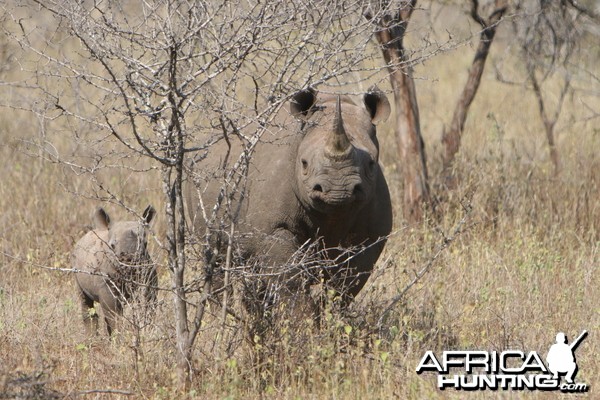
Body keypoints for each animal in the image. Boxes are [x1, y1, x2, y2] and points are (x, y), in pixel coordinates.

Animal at [189, 87, 394, 316]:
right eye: (304, 163)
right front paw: (304, 321)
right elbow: (291, 281)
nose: (338, 190)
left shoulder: (371, 236)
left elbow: (345, 285)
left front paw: (329, 317)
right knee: (214, 259)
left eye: (371, 163)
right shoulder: (275, 229)